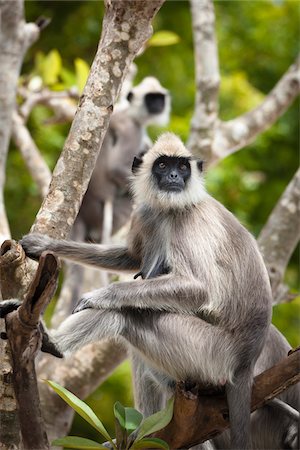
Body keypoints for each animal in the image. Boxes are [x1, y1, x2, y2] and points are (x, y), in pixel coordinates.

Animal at [18, 134, 272, 450]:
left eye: (182, 167)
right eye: (162, 165)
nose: (174, 177)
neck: (172, 208)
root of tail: (246, 361)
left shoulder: (189, 220)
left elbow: (198, 289)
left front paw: (99, 295)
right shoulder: (146, 212)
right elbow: (131, 257)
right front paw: (43, 245)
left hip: (209, 355)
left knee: (126, 314)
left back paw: (53, 343)